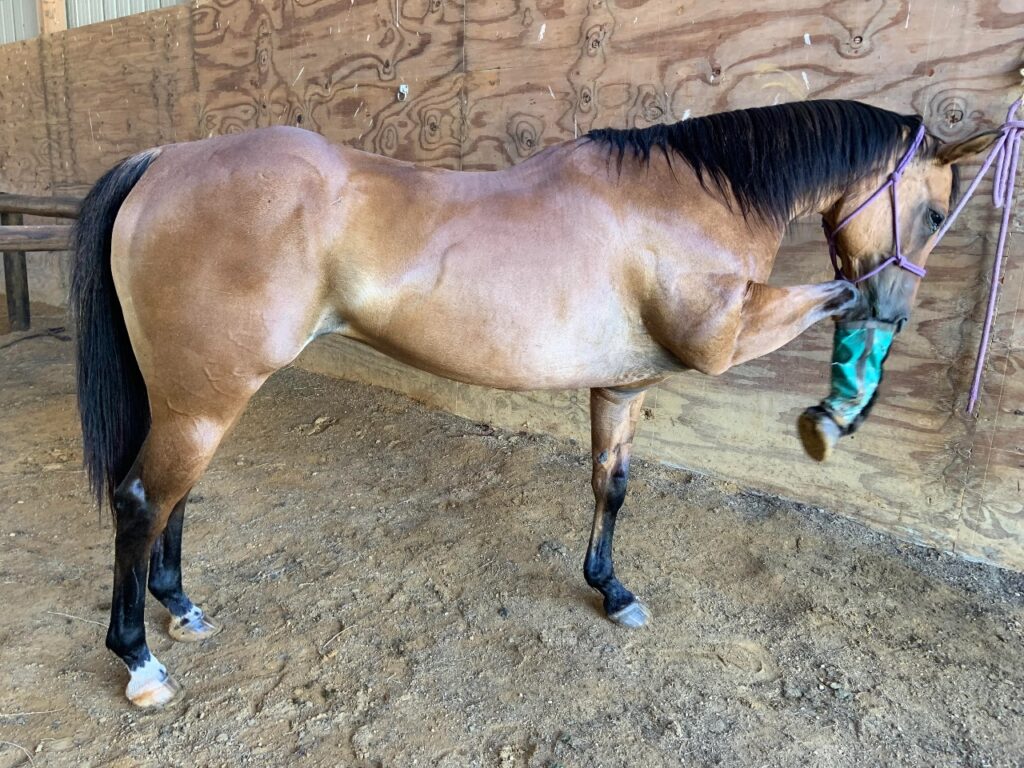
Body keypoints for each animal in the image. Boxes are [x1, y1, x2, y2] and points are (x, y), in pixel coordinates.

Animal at [69, 99, 995, 707]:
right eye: (936, 210)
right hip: (205, 398)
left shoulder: (622, 385)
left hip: (197, 395)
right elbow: (834, 296)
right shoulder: (723, 338)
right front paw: (840, 406)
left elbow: (610, 485)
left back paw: (182, 608)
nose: (900, 313)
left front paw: (611, 590)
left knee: (176, 500)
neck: (685, 202)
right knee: (143, 500)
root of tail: (169, 159)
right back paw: (140, 662)